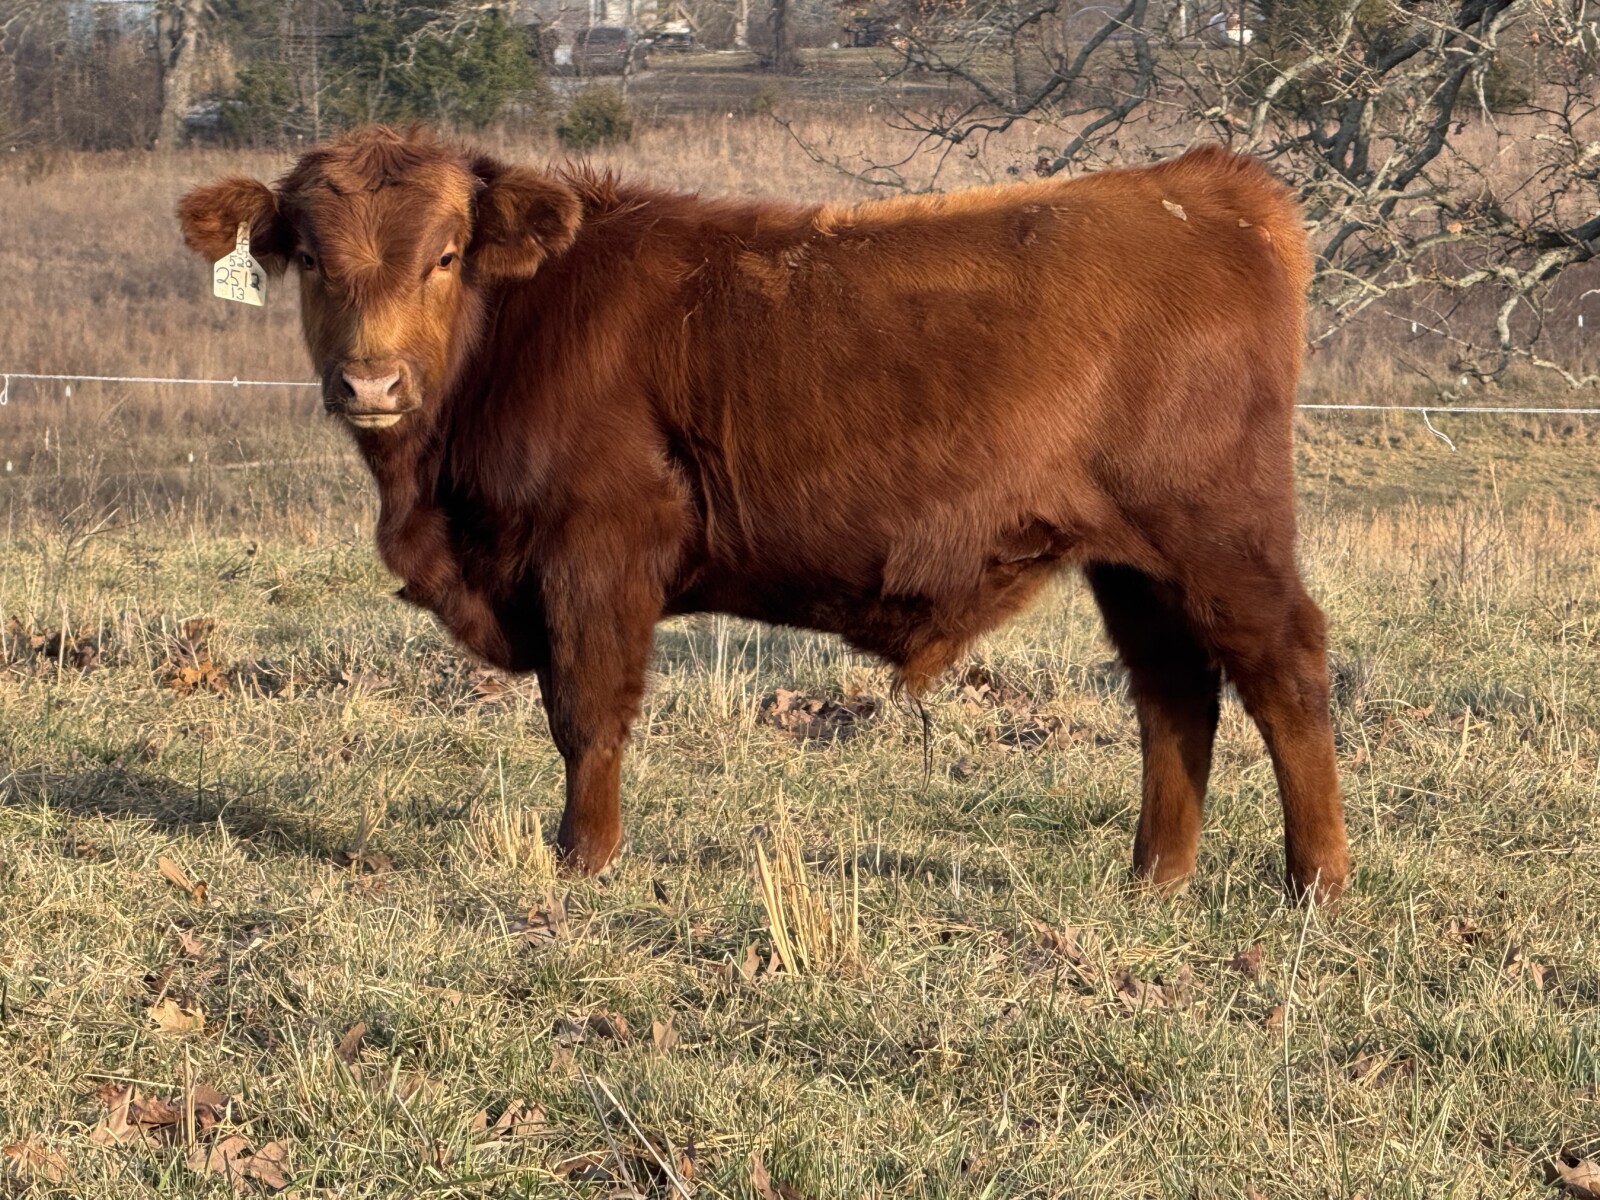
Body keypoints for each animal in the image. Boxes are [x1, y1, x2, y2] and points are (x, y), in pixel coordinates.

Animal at [177, 126, 1350, 899]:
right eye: (310, 258)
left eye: (447, 254)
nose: (370, 383)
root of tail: (1197, 187)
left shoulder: (597, 552)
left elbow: (585, 713)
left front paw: (583, 860)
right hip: (1135, 562)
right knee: (1174, 693)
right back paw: (1156, 875)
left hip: (1223, 535)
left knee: (1284, 672)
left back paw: (1317, 880)